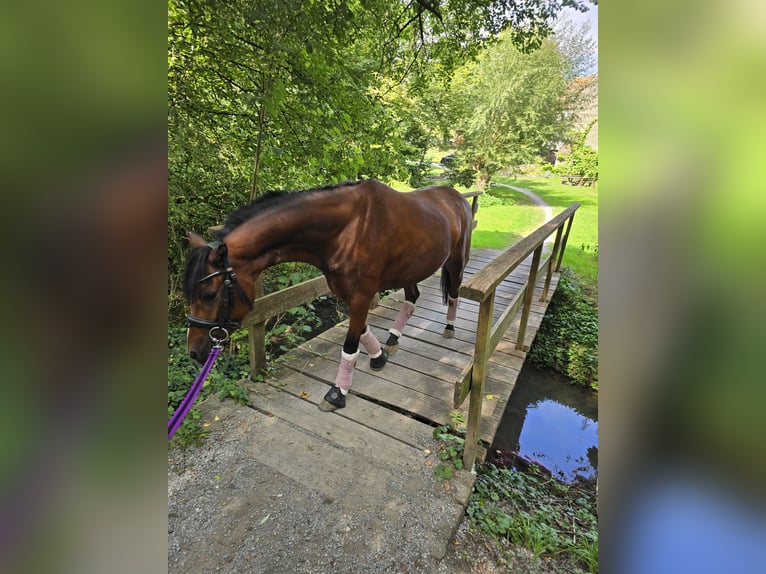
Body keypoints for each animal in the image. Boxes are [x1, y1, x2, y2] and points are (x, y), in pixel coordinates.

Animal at [186, 179, 474, 410]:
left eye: (209, 295)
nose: (194, 352)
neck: (349, 229)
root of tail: (456, 196)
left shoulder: (361, 294)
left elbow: (350, 344)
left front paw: (338, 392)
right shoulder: (347, 292)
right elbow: (362, 330)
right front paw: (378, 356)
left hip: (456, 260)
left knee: (454, 292)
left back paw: (449, 327)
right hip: (410, 269)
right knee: (412, 296)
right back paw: (393, 338)